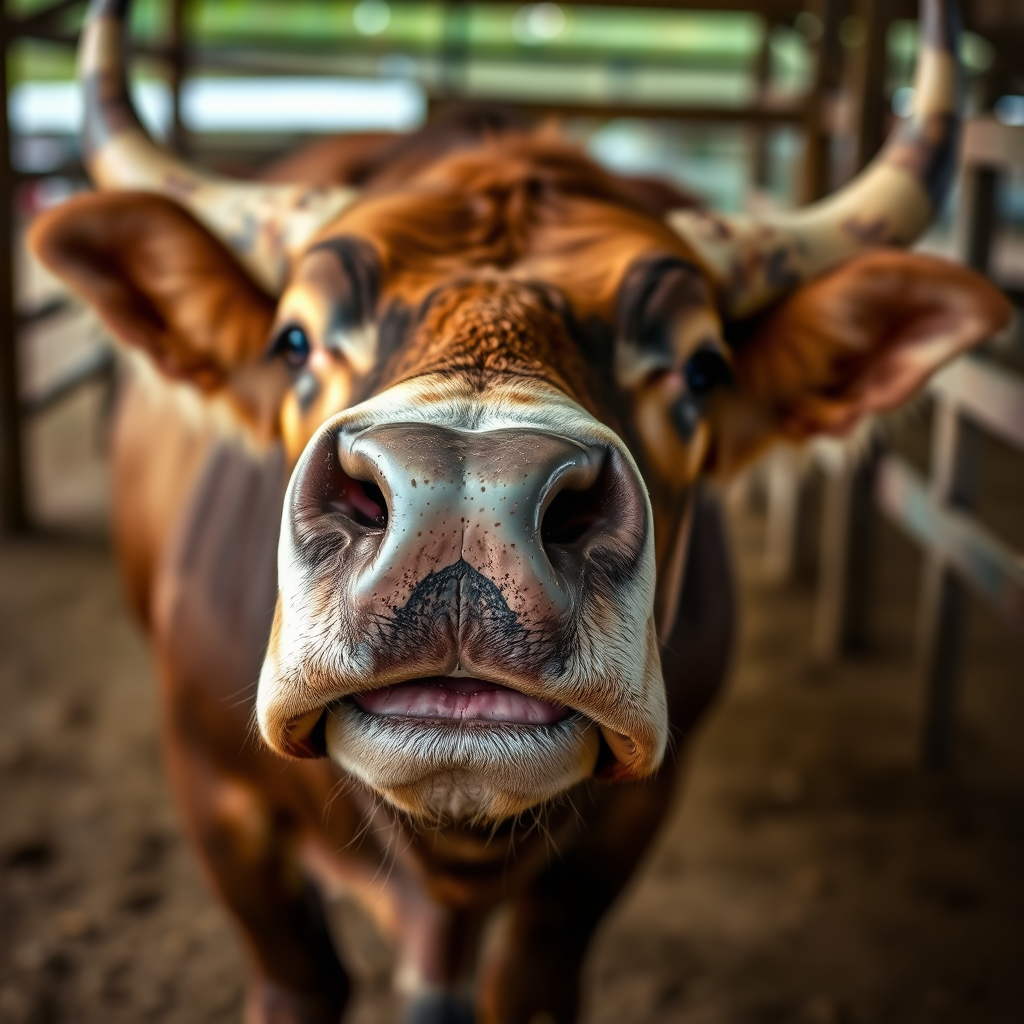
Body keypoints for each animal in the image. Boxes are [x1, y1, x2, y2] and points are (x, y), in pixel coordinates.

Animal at [30, 0, 1010, 1020]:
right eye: (294, 339)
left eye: (703, 367)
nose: (462, 498)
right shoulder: (215, 796)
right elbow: (301, 978)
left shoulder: (620, 839)